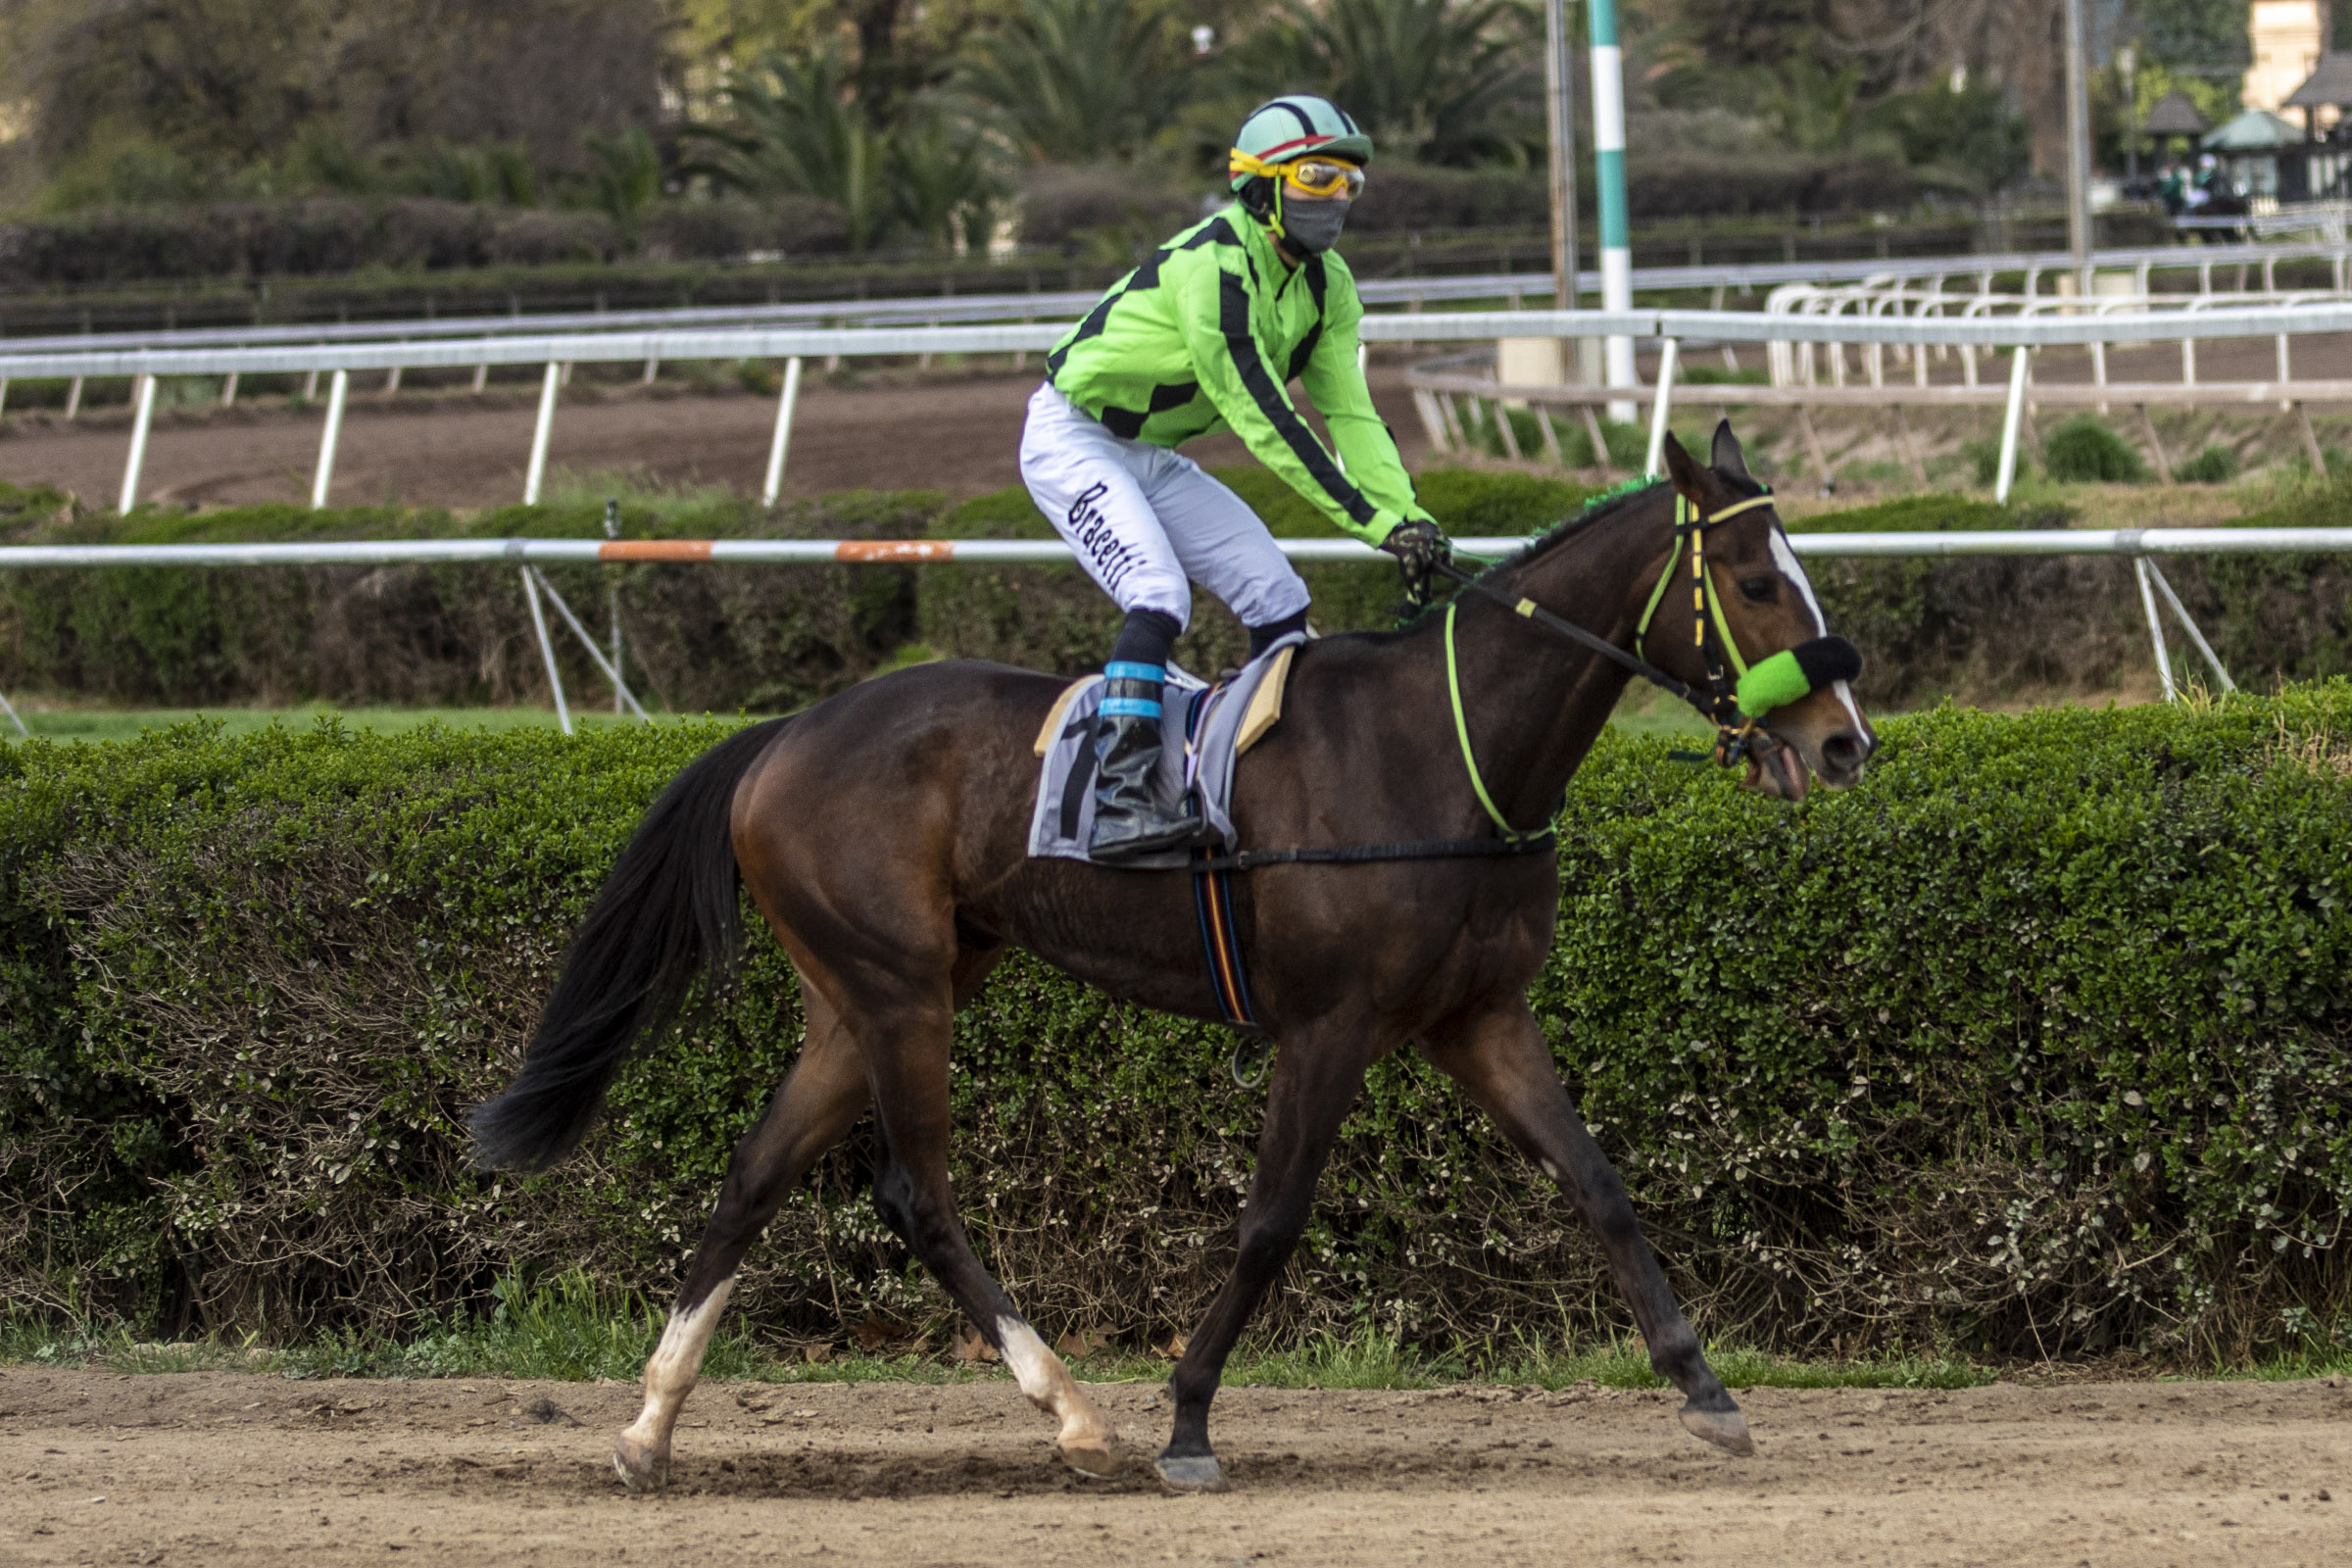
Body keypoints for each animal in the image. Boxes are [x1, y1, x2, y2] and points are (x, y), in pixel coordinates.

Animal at [469, 422, 1877, 1493]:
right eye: (1755, 581)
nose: (1845, 739)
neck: (1443, 752)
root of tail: (784, 732)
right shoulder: (1329, 1023)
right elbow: (1270, 1220)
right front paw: (1189, 1416)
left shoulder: (1479, 1016)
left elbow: (1598, 1184)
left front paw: (1704, 1387)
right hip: (900, 990)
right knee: (914, 1191)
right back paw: (1072, 1410)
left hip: (864, 995)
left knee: (753, 1177)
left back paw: (650, 1425)